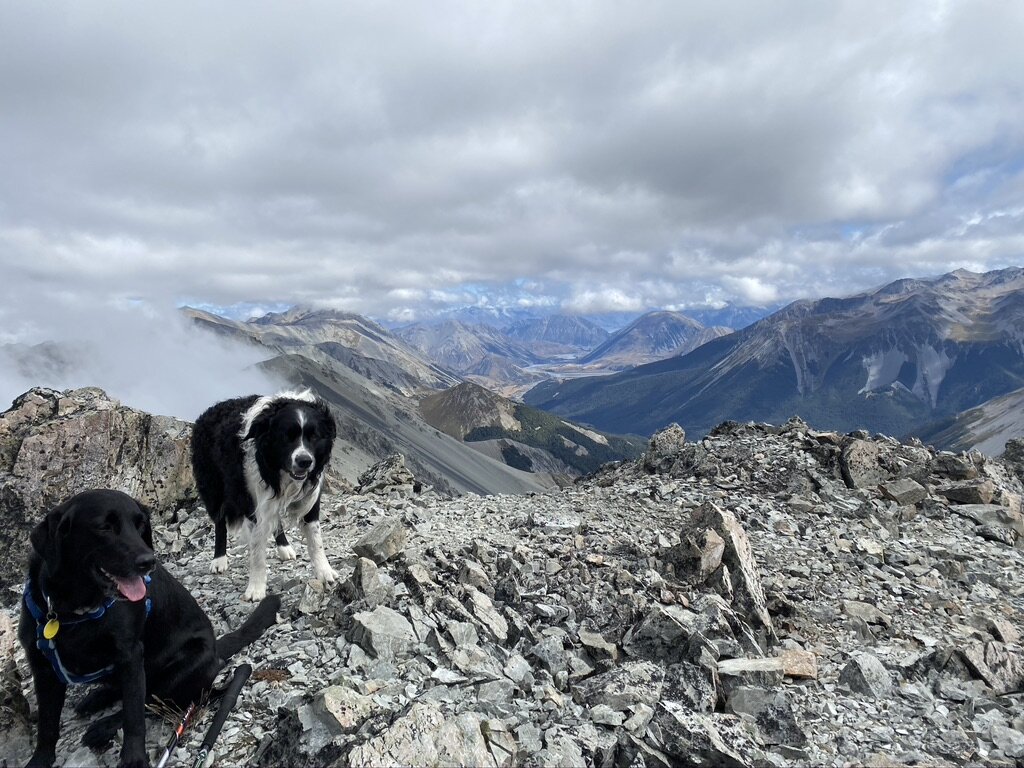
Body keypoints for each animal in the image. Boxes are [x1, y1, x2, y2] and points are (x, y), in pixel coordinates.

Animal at [20, 493, 276, 768]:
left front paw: (134, 759)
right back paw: (96, 698)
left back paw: (104, 725)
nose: (148, 562)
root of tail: (216, 647)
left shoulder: (130, 656)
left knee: (150, 700)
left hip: (188, 665)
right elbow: (47, 724)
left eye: (140, 525)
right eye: (103, 527)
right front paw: (39, 760)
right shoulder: (43, 666)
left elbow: (134, 714)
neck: (75, 610)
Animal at [190, 393, 337, 606]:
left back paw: (284, 548)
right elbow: (257, 550)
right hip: (213, 486)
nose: (305, 461)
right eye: (286, 436)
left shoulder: (310, 498)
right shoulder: (252, 503)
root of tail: (208, 412)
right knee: (219, 521)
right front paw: (256, 588)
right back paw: (219, 559)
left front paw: (325, 572)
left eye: (314, 436)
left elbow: (315, 539)